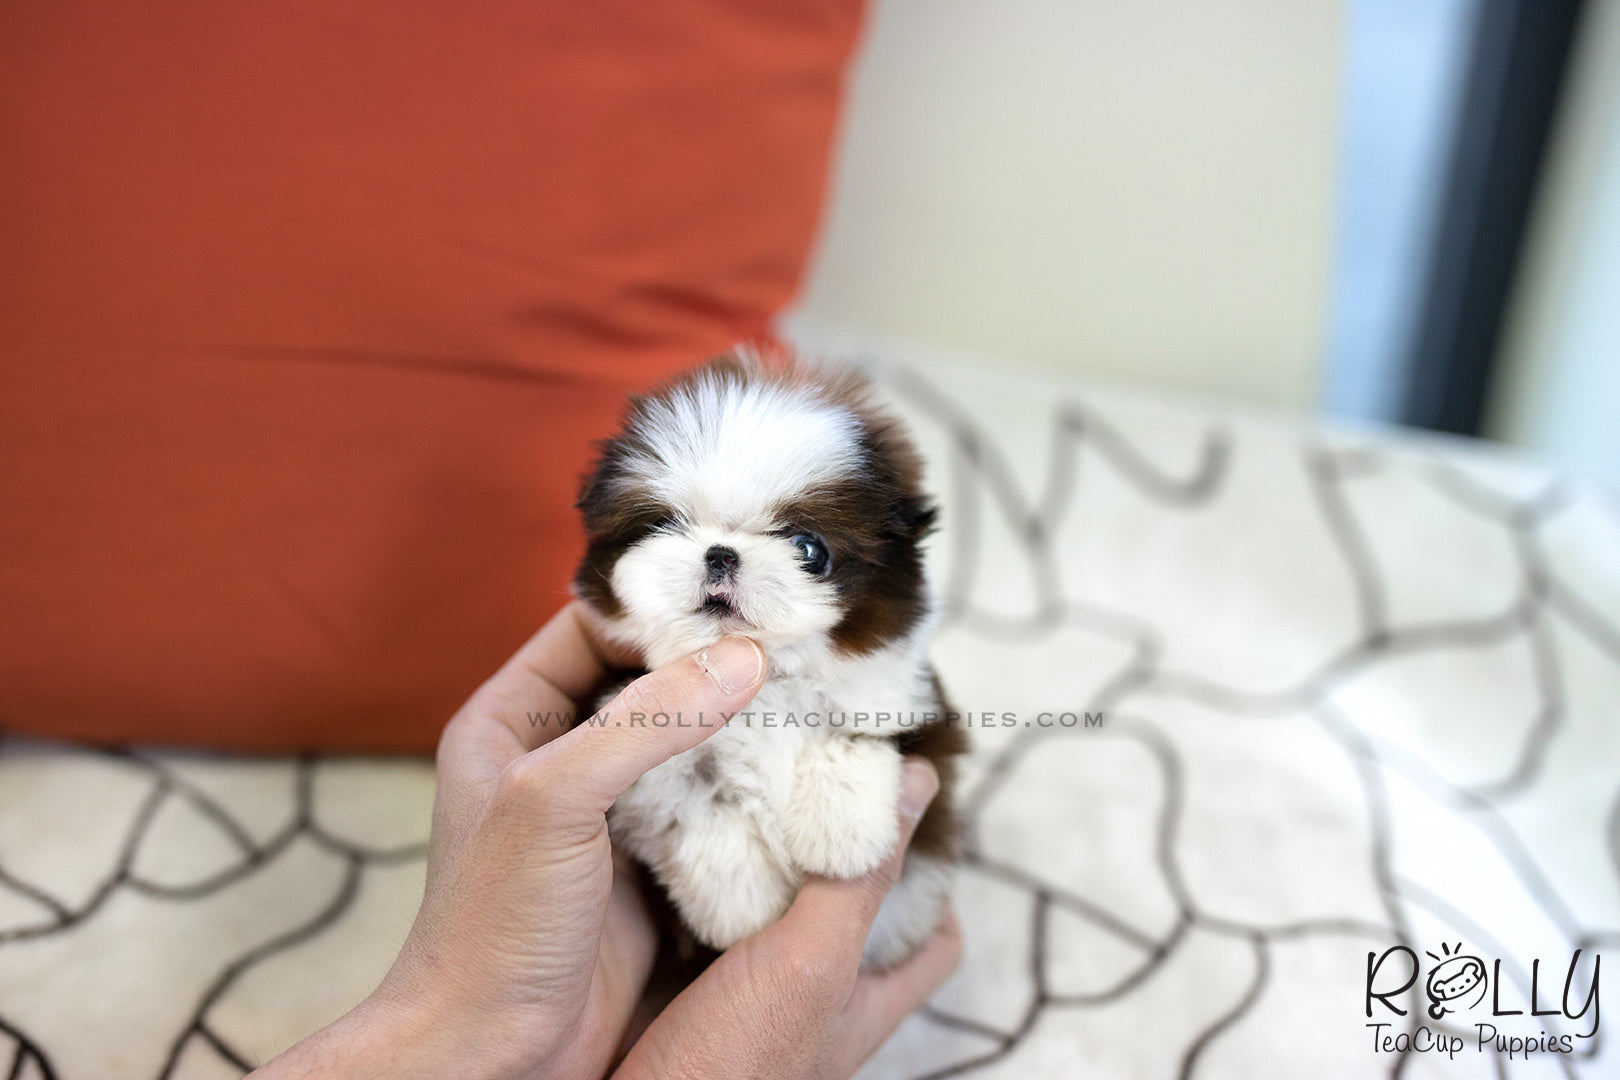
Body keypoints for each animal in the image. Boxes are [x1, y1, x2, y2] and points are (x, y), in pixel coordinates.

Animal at [573, 348, 959, 971]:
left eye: (808, 548)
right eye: (663, 525)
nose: (720, 552)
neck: (769, 678)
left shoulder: (906, 700)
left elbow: (858, 737)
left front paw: (841, 835)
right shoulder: (644, 761)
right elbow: (698, 810)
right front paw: (744, 912)